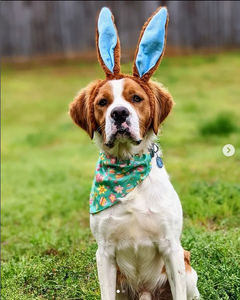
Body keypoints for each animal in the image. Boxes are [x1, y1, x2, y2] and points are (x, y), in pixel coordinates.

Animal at [69, 6, 199, 300]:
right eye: (102, 102)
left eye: (136, 98)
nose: (119, 113)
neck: (127, 168)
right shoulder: (104, 253)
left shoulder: (171, 247)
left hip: (187, 267)